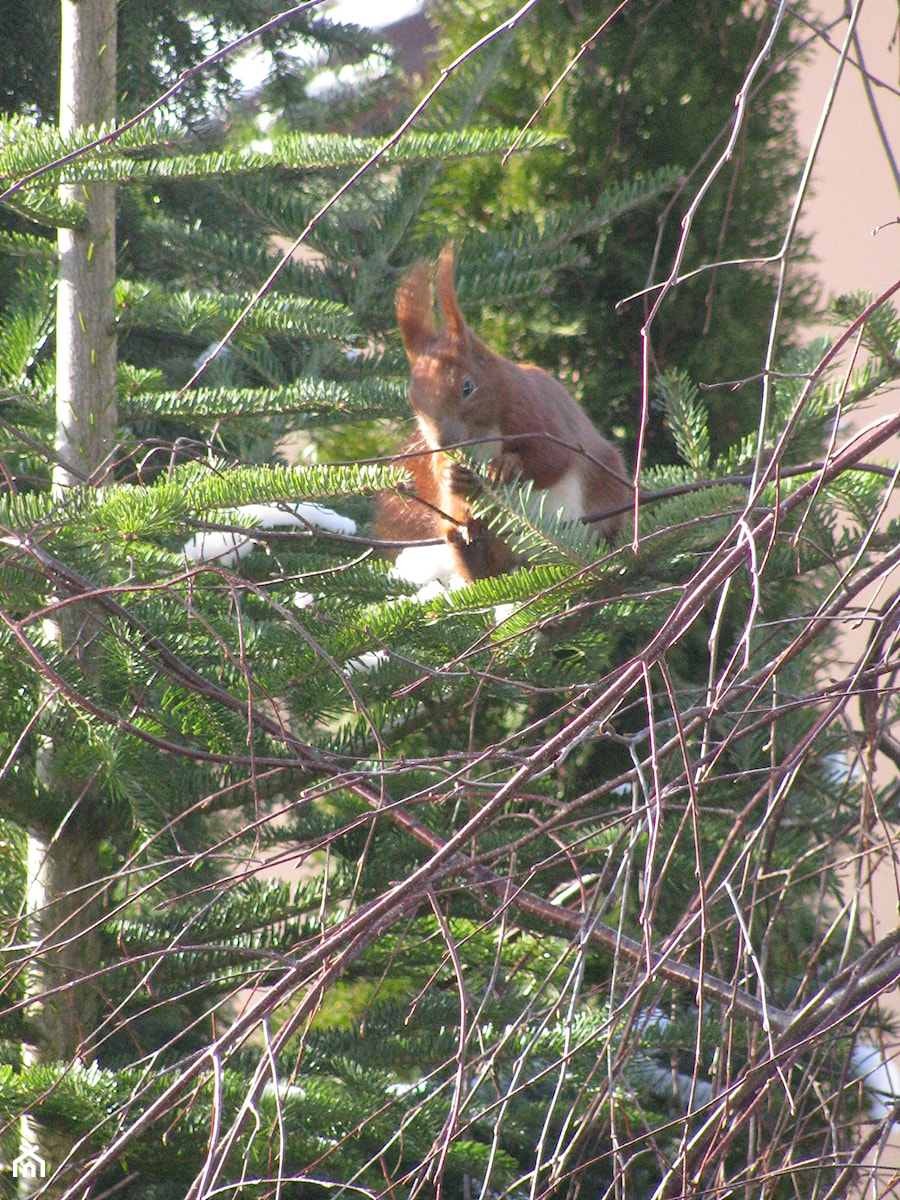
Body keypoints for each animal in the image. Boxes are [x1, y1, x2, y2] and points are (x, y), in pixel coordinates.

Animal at [376, 241, 628, 578]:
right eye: (414, 402)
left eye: (467, 387)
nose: (445, 441)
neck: (484, 432)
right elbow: (441, 467)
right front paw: (451, 476)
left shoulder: (538, 411)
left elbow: (553, 458)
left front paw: (508, 467)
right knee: (483, 567)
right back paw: (468, 541)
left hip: (607, 492)